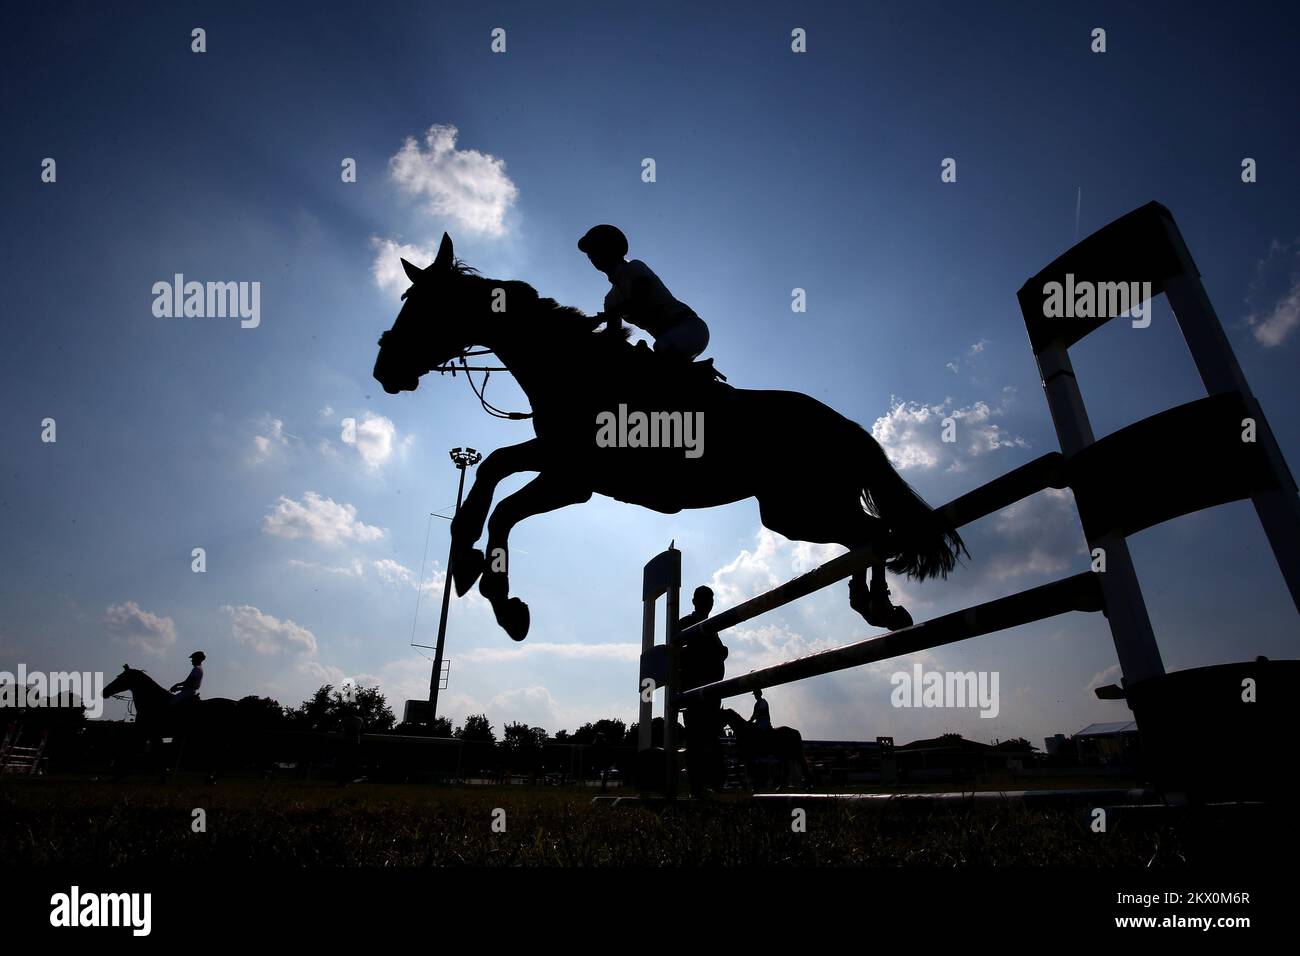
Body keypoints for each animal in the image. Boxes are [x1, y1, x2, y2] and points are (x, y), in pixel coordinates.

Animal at [101, 671, 239, 780]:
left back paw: (213, 777)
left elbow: (140, 750)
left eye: (121, 678)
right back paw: (213, 776)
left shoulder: (147, 732)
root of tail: (234, 703)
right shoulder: (150, 734)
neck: (154, 702)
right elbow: (153, 750)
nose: (104, 691)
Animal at [371, 234, 961, 642]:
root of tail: (844, 425)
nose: (383, 369)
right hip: (792, 512)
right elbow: (493, 466)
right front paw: (466, 556)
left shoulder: (573, 480)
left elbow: (506, 508)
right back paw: (870, 604)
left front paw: (503, 601)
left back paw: (880, 607)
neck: (569, 367)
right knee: (865, 534)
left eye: (423, 307)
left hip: (802, 506)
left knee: (876, 532)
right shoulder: (557, 458)